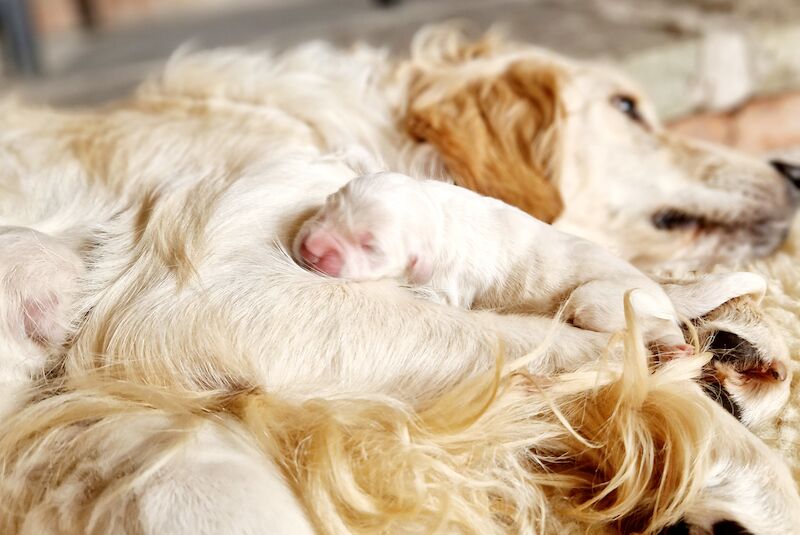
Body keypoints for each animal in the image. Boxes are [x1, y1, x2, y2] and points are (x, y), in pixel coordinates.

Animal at [294, 172, 688, 354]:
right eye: (329, 203)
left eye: (371, 246)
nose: (311, 249)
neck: (436, 217)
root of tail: (662, 296)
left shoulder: (448, 284)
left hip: (598, 300)